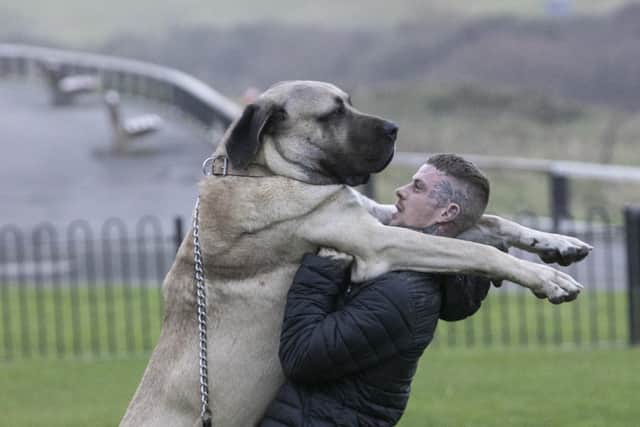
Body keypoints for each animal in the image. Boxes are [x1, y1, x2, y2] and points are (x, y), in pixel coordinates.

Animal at [120, 81, 592, 427]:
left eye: (349, 102)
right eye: (333, 114)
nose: (395, 128)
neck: (261, 171)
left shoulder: (379, 217)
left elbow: (491, 223)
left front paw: (559, 244)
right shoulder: (378, 241)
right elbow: (469, 247)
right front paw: (549, 279)